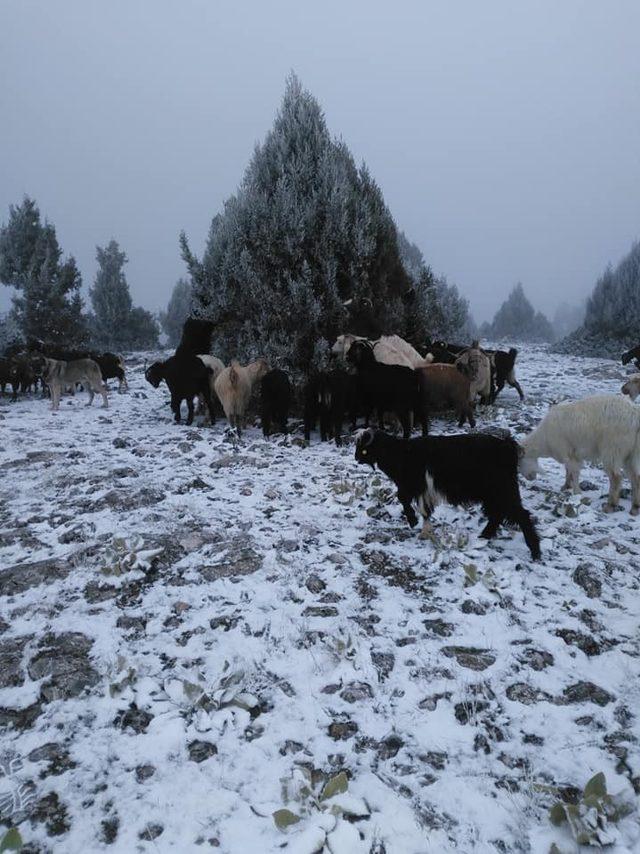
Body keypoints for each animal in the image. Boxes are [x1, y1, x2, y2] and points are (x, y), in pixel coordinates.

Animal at [356, 428, 540, 560]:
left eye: (364, 450)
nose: (357, 458)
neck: (402, 454)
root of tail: (507, 447)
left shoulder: (415, 486)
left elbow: (405, 500)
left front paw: (414, 522)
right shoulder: (421, 491)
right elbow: (423, 509)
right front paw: (424, 530)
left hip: (502, 490)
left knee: (520, 515)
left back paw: (535, 552)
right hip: (494, 494)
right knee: (498, 514)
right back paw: (484, 536)